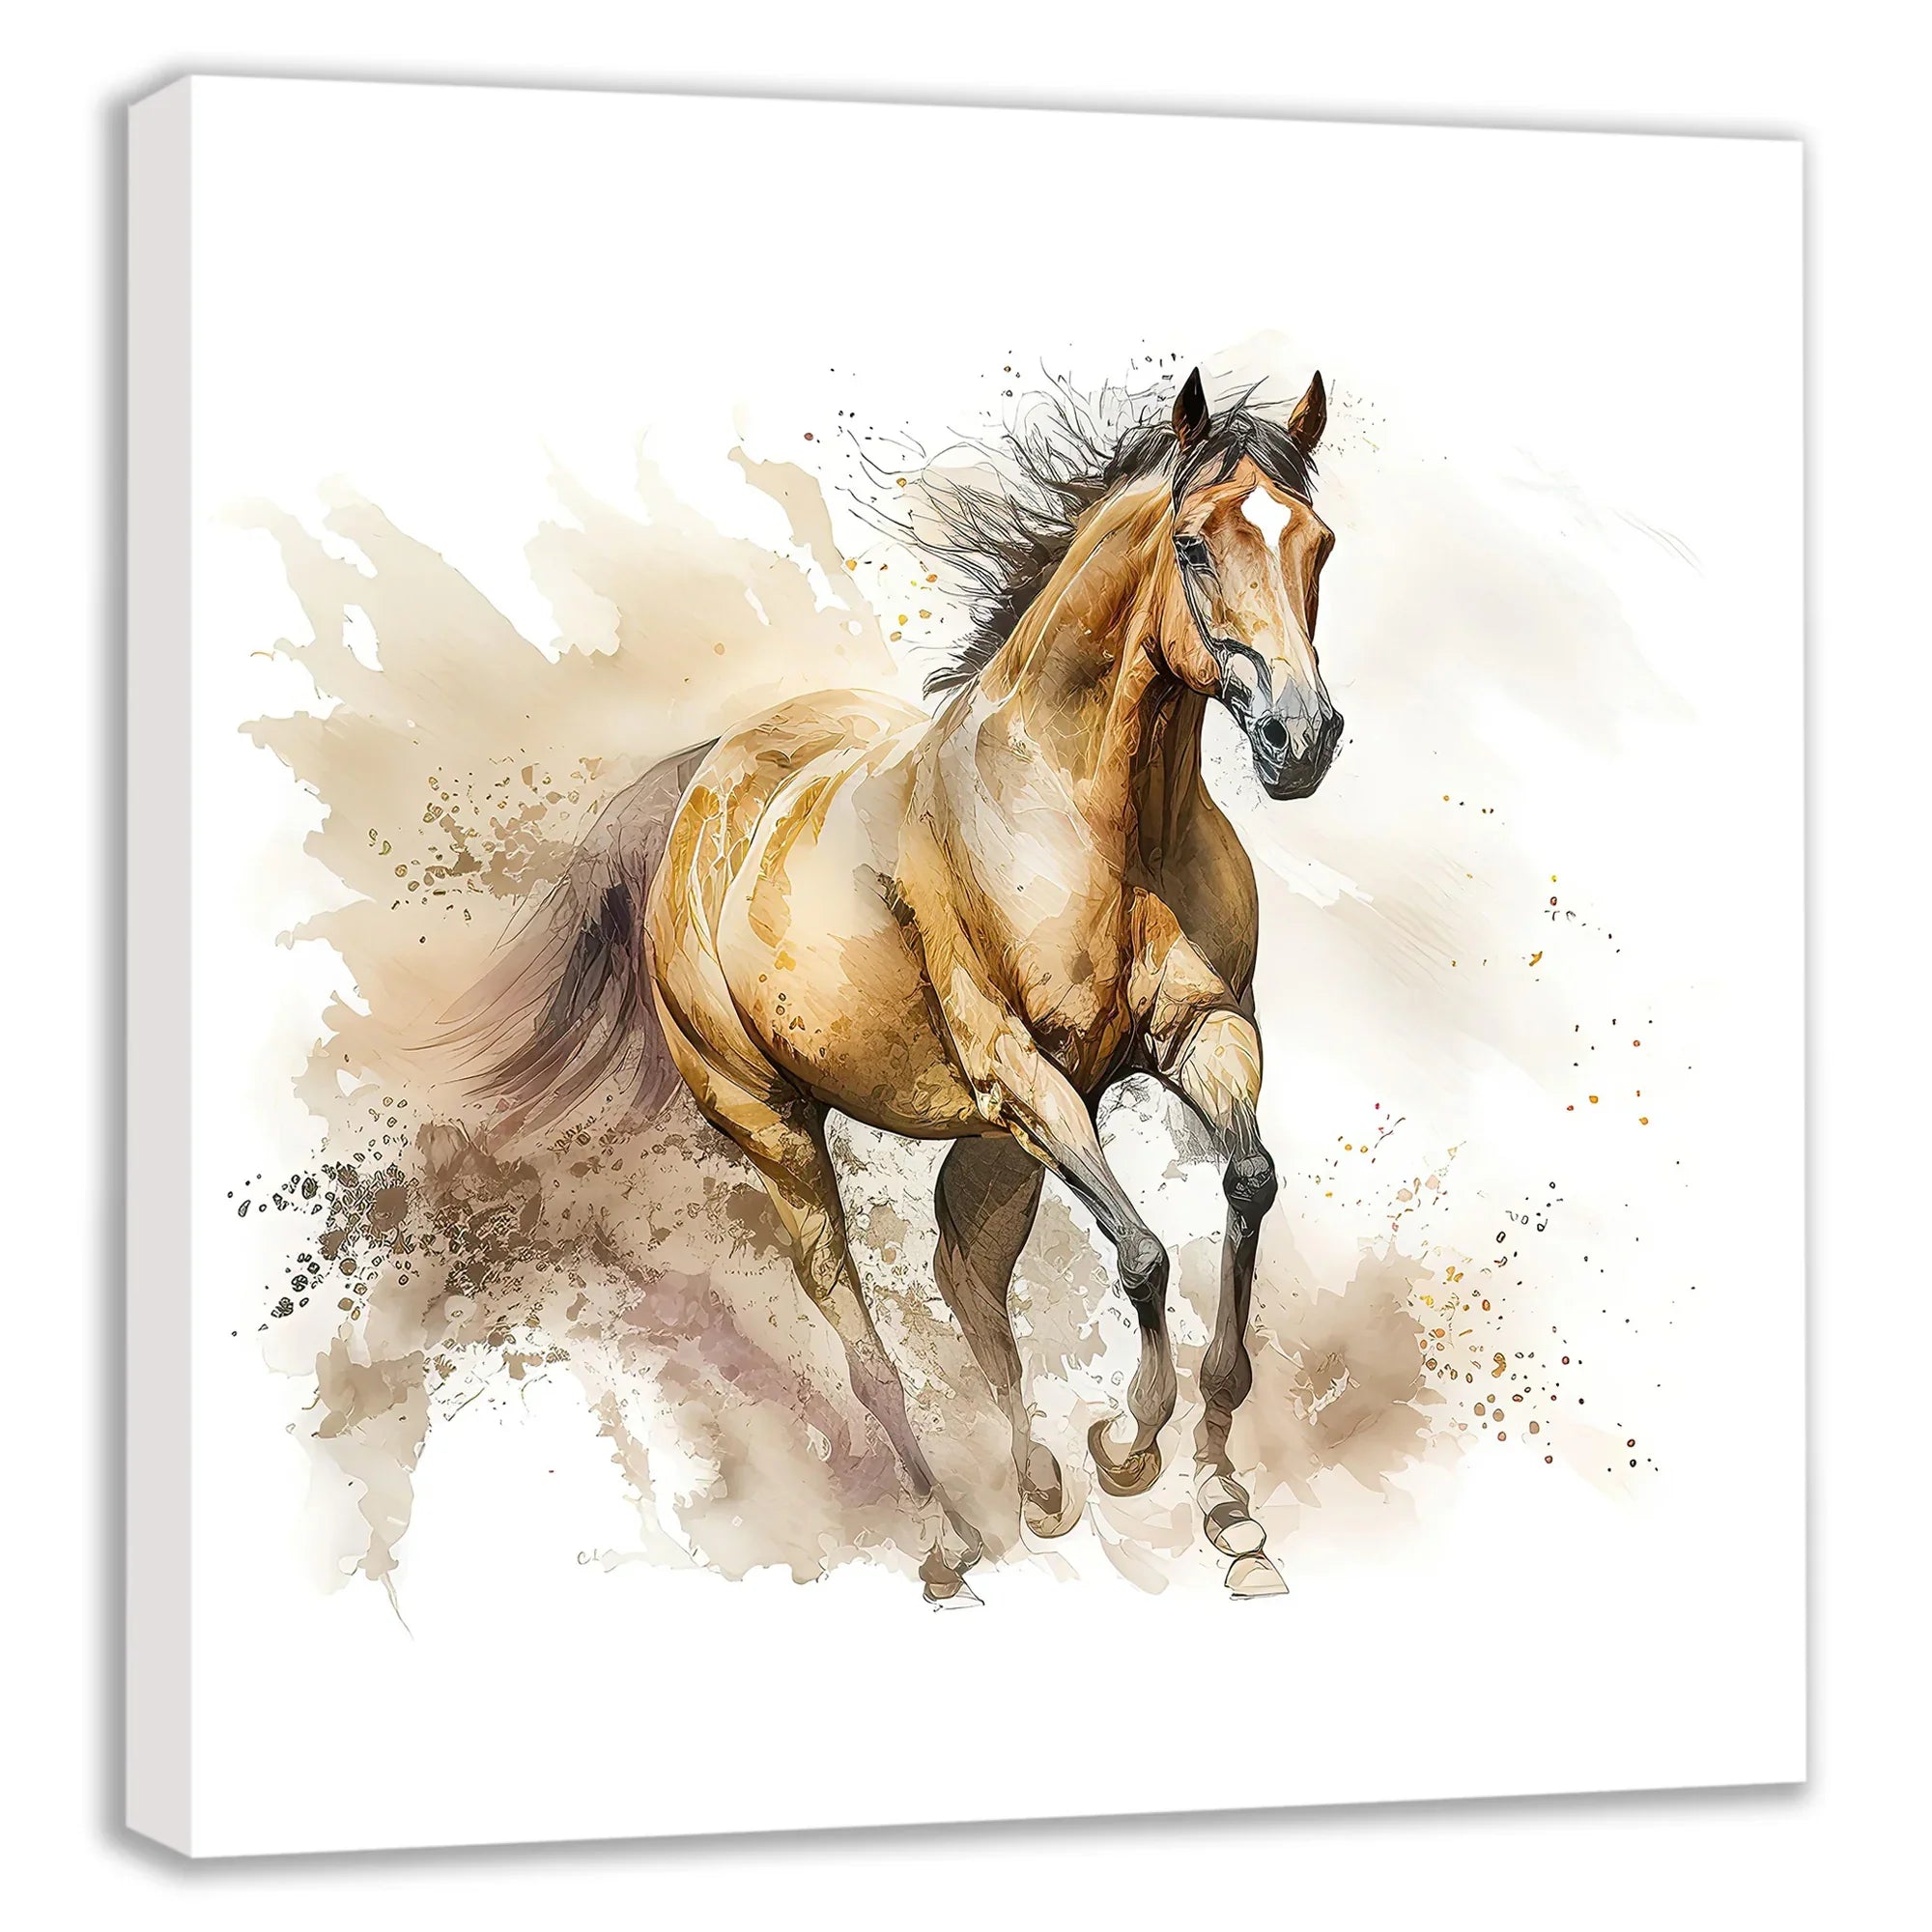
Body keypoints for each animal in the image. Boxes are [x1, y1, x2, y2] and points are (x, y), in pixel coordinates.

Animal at [454, 367, 1344, 1603]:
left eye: (1317, 542)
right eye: (1195, 543)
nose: (1299, 739)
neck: (1093, 816)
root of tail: (702, 786)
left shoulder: (1199, 1034)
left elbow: (1247, 1184)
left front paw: (1227, 1507)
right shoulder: (1024, 1075)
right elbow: (1144, 1252)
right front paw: (1129, 1446)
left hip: (987, 1138)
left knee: (966, 1277)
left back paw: (1036, 1488)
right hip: (778, 1126)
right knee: (862, 1332)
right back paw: (948, 1540)